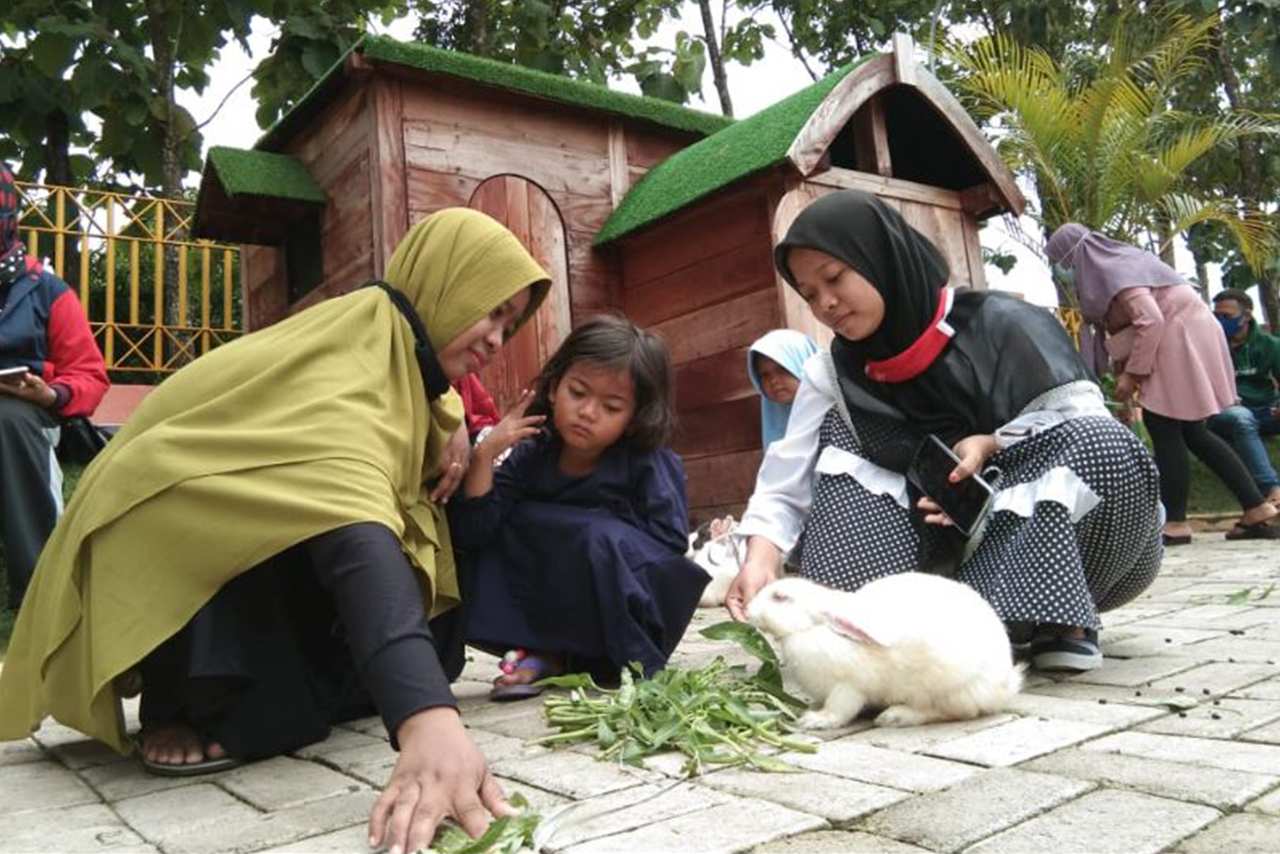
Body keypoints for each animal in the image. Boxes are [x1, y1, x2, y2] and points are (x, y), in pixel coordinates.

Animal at [747, 571, 1024, 732]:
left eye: (780, 597)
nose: (749, 610)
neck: (812, 629)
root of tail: (1006, 684)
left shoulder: (849, 687)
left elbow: (839, 710)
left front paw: (815, 720)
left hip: (947, 690)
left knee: (950, 713)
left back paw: (895, 717)